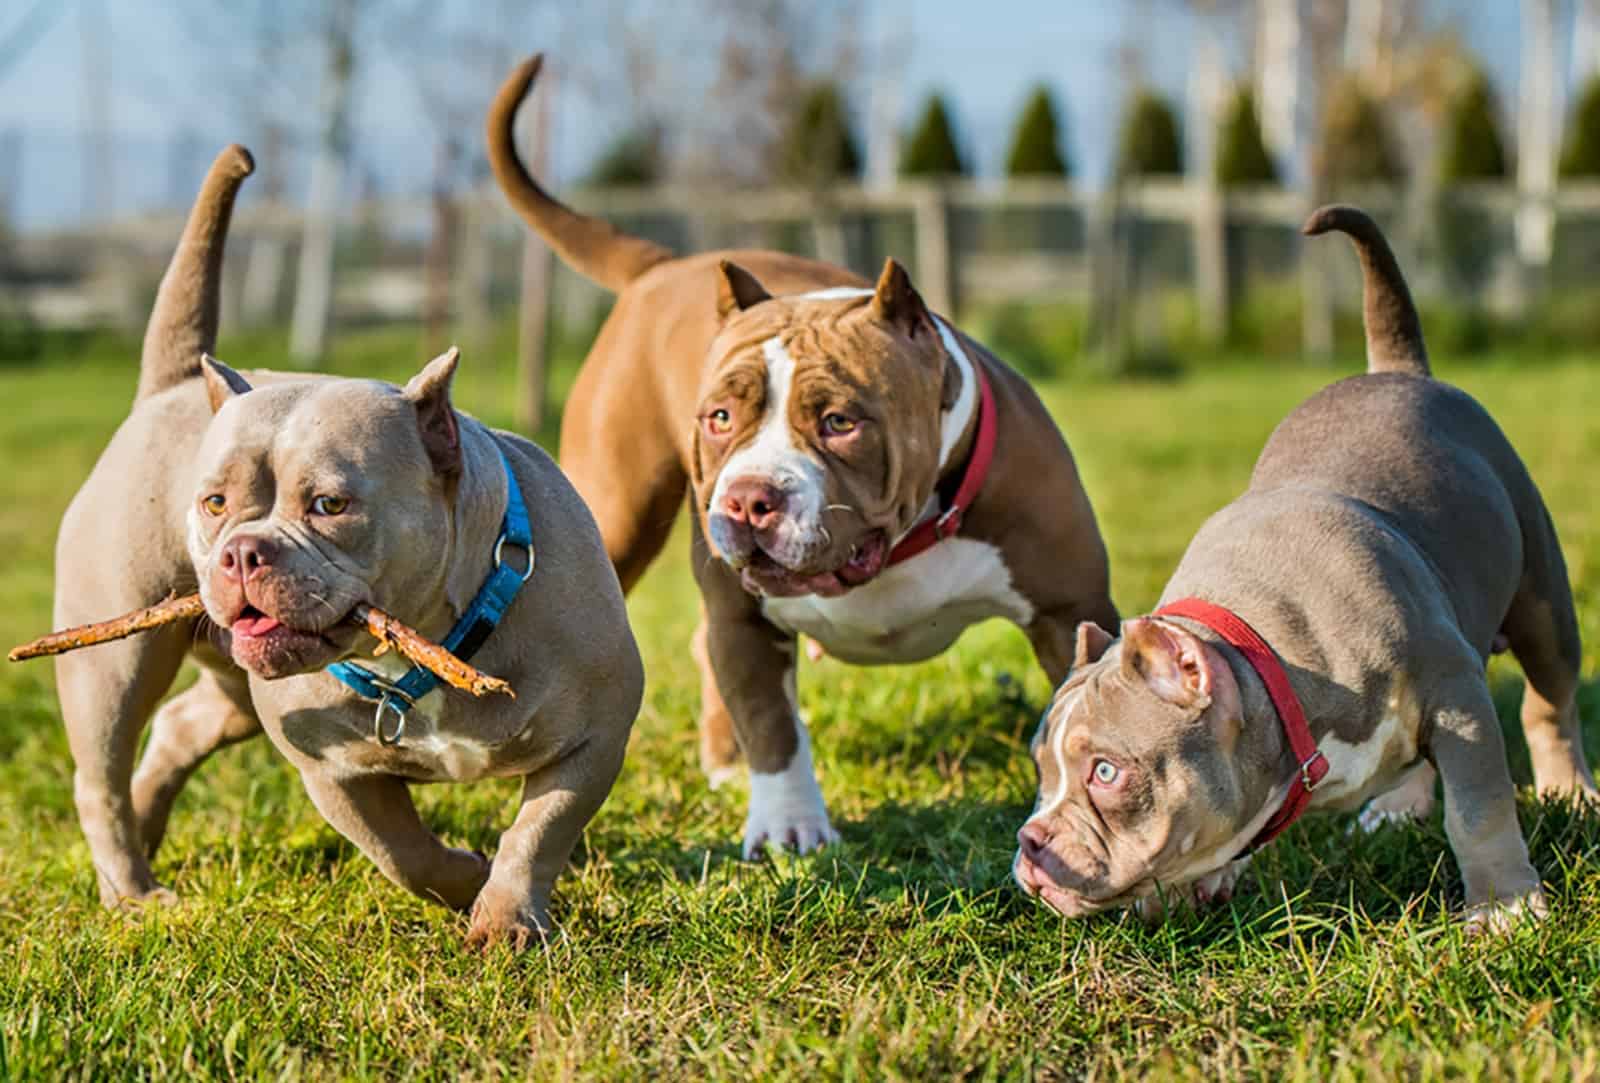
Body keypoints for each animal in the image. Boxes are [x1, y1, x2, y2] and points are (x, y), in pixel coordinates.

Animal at [483, 57, 1113, 851]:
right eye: (720, 417)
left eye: (840, 421)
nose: (751, 498)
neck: (902, 541)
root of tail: (665, 265)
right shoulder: (745, 618)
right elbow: (772, 722)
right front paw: (788, 826)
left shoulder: (1067, 611)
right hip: (618, 512)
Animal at [1017, 204, 1593, 927]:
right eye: (1041, 768)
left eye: (1105, 772)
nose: (1030, 843)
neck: (1262, 654)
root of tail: (1396, 370)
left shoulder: (1456, 691)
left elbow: (1477, 808)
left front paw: (1503, 907)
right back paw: (1397, 808)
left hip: (1543, 599)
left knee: (1549, 703)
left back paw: (1570, 791)